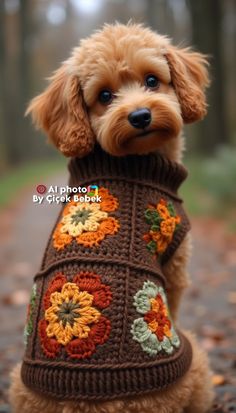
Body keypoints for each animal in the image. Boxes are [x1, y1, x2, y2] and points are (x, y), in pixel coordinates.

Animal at [9, 22, 214, 412]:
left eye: (152, 80)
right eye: (104, 95)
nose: (139, 116)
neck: (132, 159)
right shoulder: (175, 267)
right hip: (195, 361)